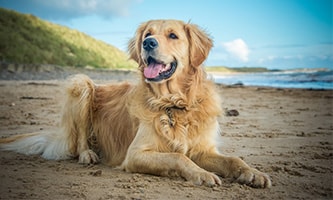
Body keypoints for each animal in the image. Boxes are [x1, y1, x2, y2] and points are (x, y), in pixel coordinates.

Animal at [0, 19, 270, 188]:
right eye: (148, 34)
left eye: (173, 35)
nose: (148, 43)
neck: (173, 103)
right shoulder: (135, 154)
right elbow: (178, 157)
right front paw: (202, 174)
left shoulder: (202, 149)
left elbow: (233, 160)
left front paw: (253, 173)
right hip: (82, 84)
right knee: (80, 139)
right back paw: (88, 154)